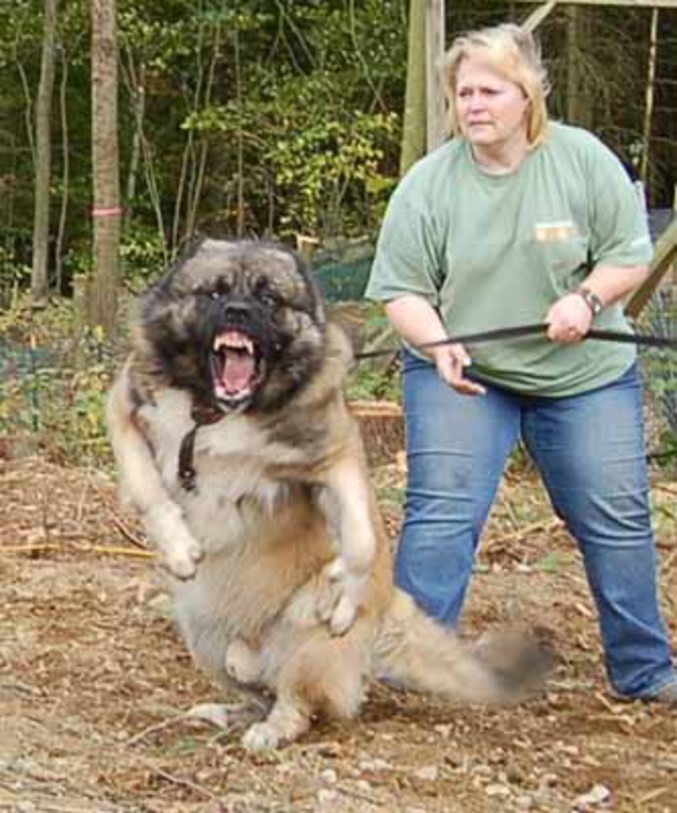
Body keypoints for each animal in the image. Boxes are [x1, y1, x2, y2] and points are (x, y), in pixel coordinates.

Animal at [104, 239, 548, 748]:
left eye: (268, 298)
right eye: (214, 292)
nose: (237, 311)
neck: (221, 413)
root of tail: (391, 604)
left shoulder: (335, 454)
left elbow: (359, 536)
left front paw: (347, 584)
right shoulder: (124, 409)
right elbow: (146, 487)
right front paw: (177, 545)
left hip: (304, 639)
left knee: (297, 702)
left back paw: (272, 728)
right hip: (203, 636)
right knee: (256, 687)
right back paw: (226, 711)